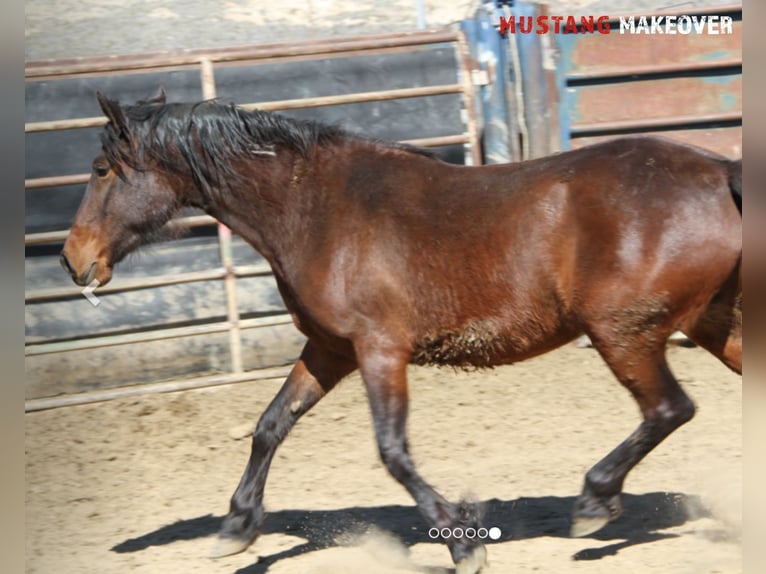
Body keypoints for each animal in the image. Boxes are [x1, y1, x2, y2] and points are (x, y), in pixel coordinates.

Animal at [61, 91, 744, 574]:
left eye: (101, 169)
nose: (73, 261)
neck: (314, 210)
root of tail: (720, 172)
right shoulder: (330, 349)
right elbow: (270, 426)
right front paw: (234, 529)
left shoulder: (379, 349)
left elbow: (391, 451)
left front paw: (463, 544)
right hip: (715, 326)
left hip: (622, 333)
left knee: (668, 408)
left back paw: (592, 505)